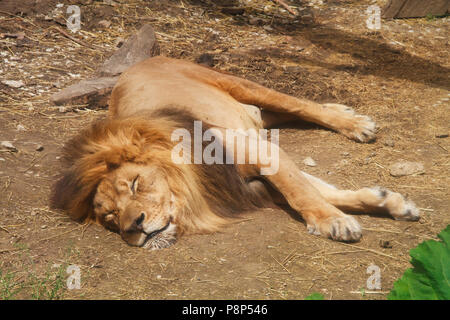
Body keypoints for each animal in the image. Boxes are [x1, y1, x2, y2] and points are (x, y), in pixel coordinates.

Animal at [51, 56, 420, 249]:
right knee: (271, 113)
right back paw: (342, 111)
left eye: (135, 184)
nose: (133, 227)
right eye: (110, 218)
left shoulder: (261, 151)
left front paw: (334, 222)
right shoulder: (256, 180)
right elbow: (321, 190)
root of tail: (143, 61)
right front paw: (389, 202)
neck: (199, 185)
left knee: (298, 105)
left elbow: (302, 192)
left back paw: (354, 123)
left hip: (239, 83)